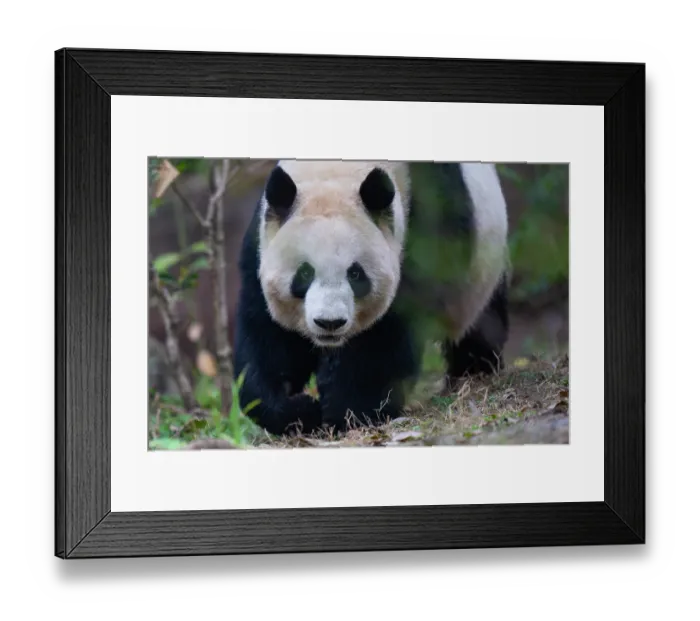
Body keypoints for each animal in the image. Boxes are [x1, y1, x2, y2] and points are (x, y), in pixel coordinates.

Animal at [232, 159, 510, 437]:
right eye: (305, 273)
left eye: (355, 273)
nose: (330, 323)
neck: (334, 171)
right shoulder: (260, 246)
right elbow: (267, 339)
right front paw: (296, 410)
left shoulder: (425, 224)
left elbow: (386, 335)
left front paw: (349, 410)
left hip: (481, 278)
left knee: (479, 328)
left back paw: (475, 370)